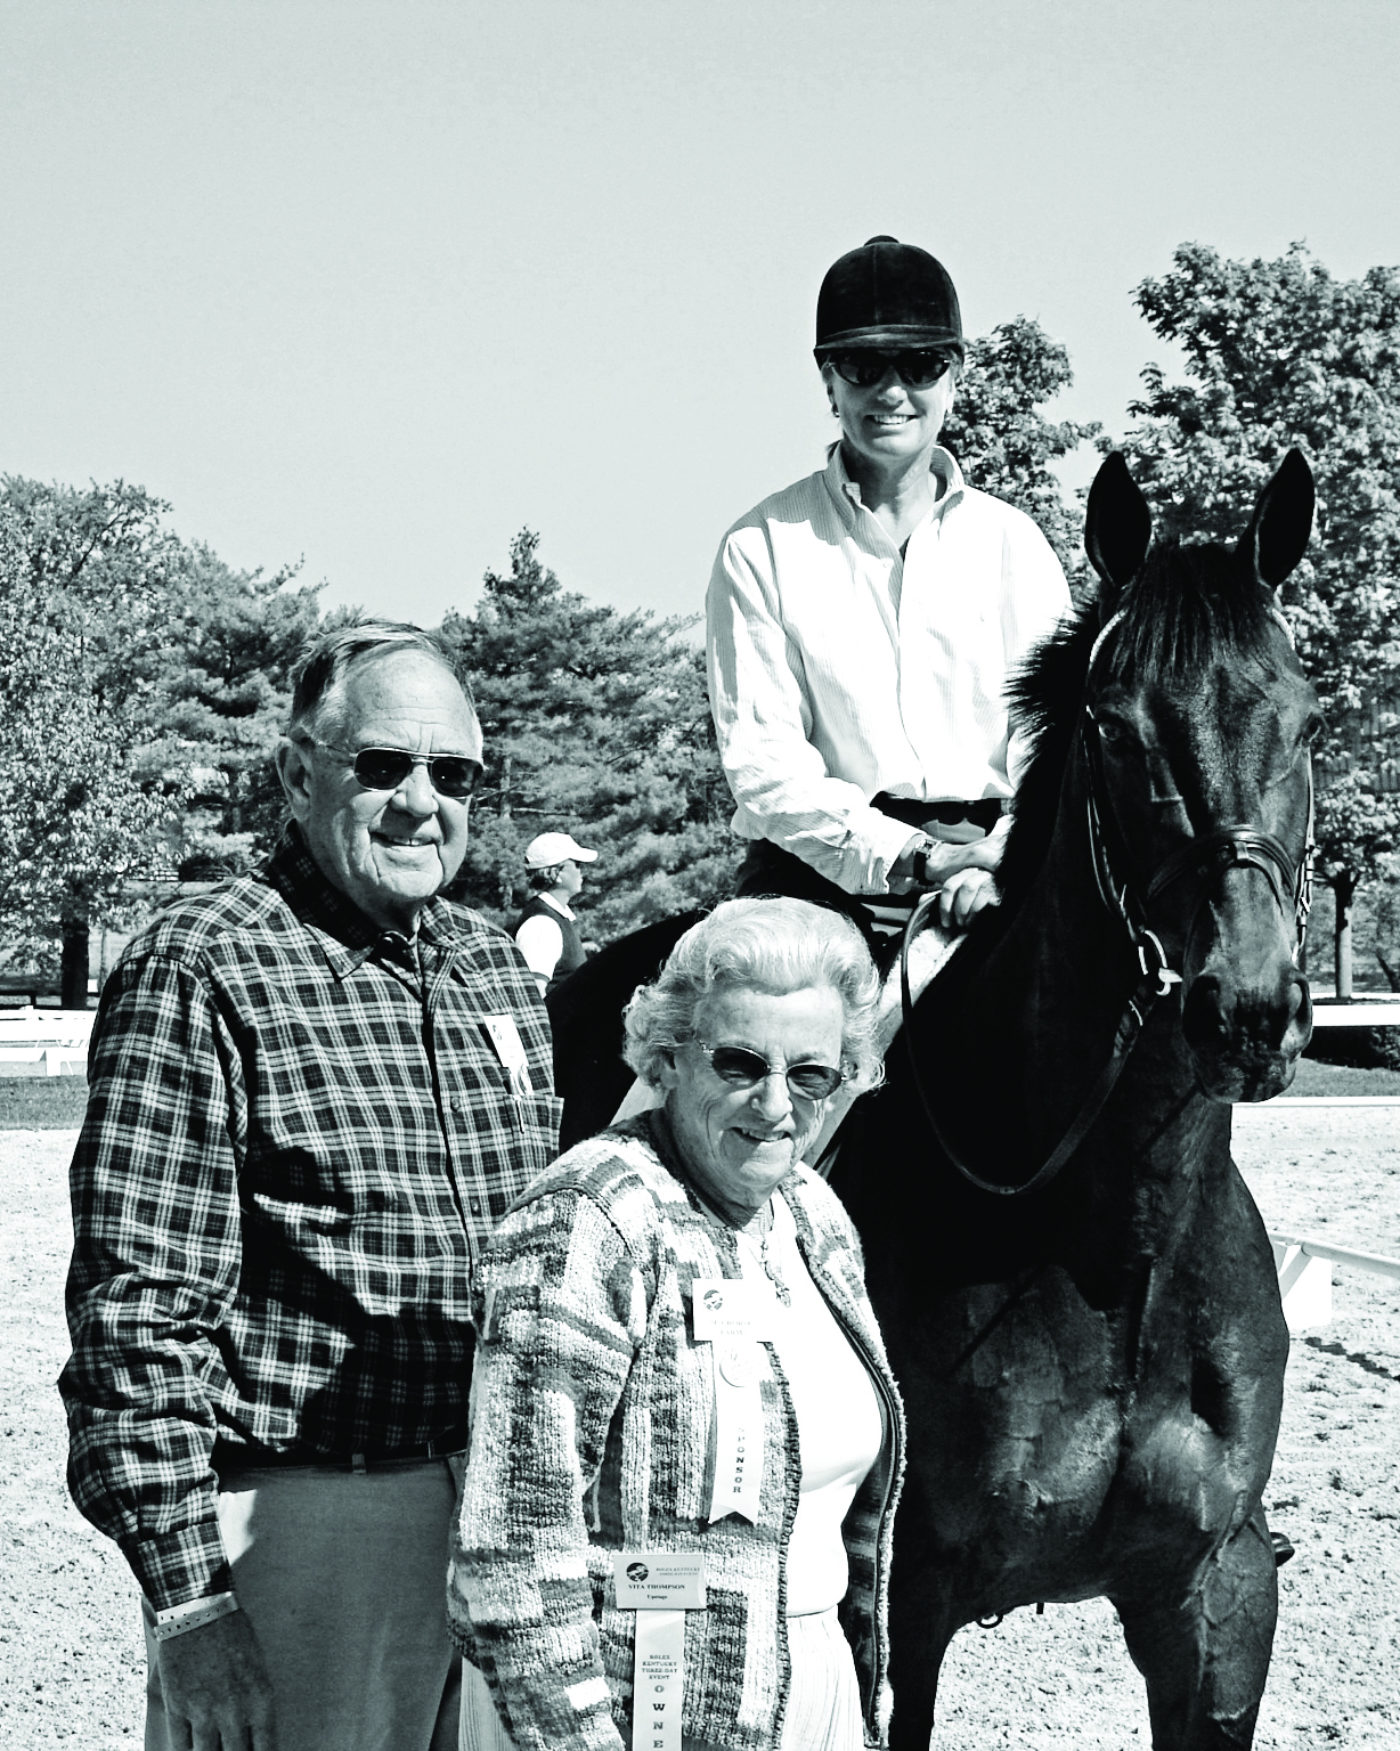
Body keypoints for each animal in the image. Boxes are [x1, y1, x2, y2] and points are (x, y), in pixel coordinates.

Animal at [549, 444, 1323, 1743]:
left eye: (1308, 717)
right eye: (1115, 732)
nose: (1245, 1011)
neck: (1113, 1243)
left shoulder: (1214, 1596)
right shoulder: (903, 1600)